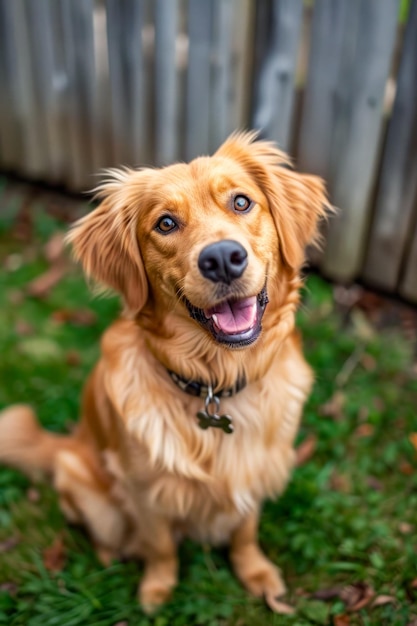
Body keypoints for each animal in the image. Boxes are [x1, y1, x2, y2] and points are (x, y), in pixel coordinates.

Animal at [0, 130, 326, 608]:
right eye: (166, 224)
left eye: (241, 202)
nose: (222, 258)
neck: (215, 381)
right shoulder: (144, 490)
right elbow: (160, 546)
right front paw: (156, 590)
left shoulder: (257, 467)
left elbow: (245, 531)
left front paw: (256, 572)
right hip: (87, 485)